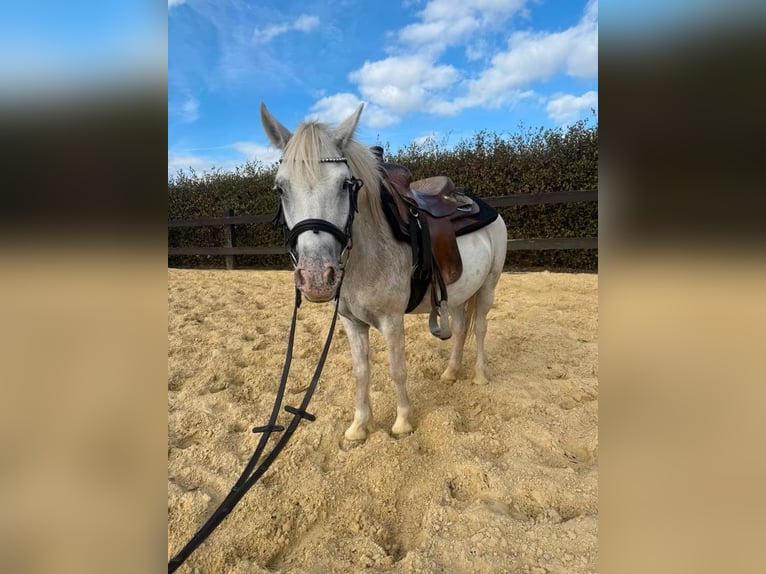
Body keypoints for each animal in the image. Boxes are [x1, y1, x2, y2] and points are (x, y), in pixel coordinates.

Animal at [260, 103, 508, 441]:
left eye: (345, 184)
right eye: (280, 188)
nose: (316, 279)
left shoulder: (392, 321)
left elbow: (396, 369)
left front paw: (402, 422)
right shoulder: (351, 322)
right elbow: (361, 372)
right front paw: (359, 427)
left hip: (488, 287)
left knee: (480, 327)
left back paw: (480, 375)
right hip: (459, 292)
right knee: (459, 327)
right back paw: (451, 372)